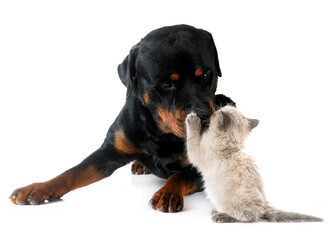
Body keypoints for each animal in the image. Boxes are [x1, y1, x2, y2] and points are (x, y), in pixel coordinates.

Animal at [9, 24, 233, 212]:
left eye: (206, 76)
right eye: (165, 85)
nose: (202, 116)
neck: (159, 133)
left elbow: (181, 175)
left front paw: (168, 192)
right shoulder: (109, 151)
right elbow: (73, 172)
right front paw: (36, 189)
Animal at [184, 107, 322, 223]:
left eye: (216, 113)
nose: (212, 113)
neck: (230, 147)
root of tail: (264, 207)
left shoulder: (197, 153)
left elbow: (192, 137)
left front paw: (192, 119)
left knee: (250, 217)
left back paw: (221, 216)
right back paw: (217, 211)